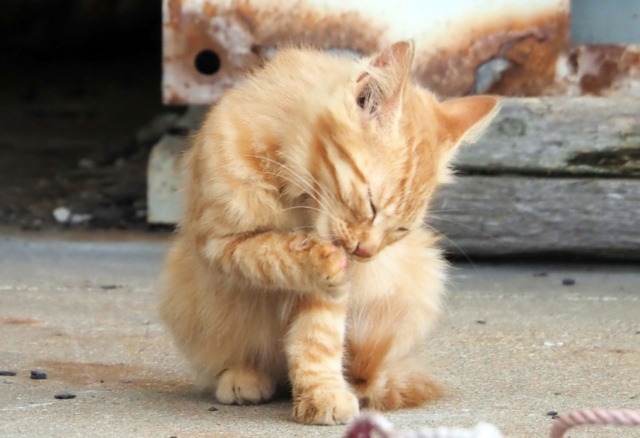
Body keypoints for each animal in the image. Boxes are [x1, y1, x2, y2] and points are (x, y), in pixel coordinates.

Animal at [160, 40, 500, 424]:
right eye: (371, 204)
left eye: (400, 228)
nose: (366, 252)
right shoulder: (218, 242)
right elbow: (266, 252)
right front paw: (313, 257)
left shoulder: (332, 297)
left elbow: (317, 338)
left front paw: (321, 392)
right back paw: (244, 376)